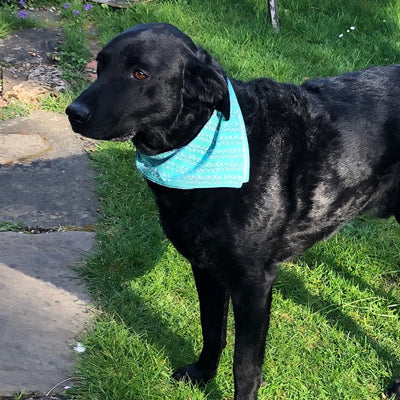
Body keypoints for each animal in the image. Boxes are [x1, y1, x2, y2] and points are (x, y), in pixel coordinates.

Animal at [67, 22, 400, 400]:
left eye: (139, 73)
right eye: (100, 64)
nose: (73, 113)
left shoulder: (253, 283)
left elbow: (245, 365)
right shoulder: (205, 268)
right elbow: (212, 328)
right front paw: (202, 374)